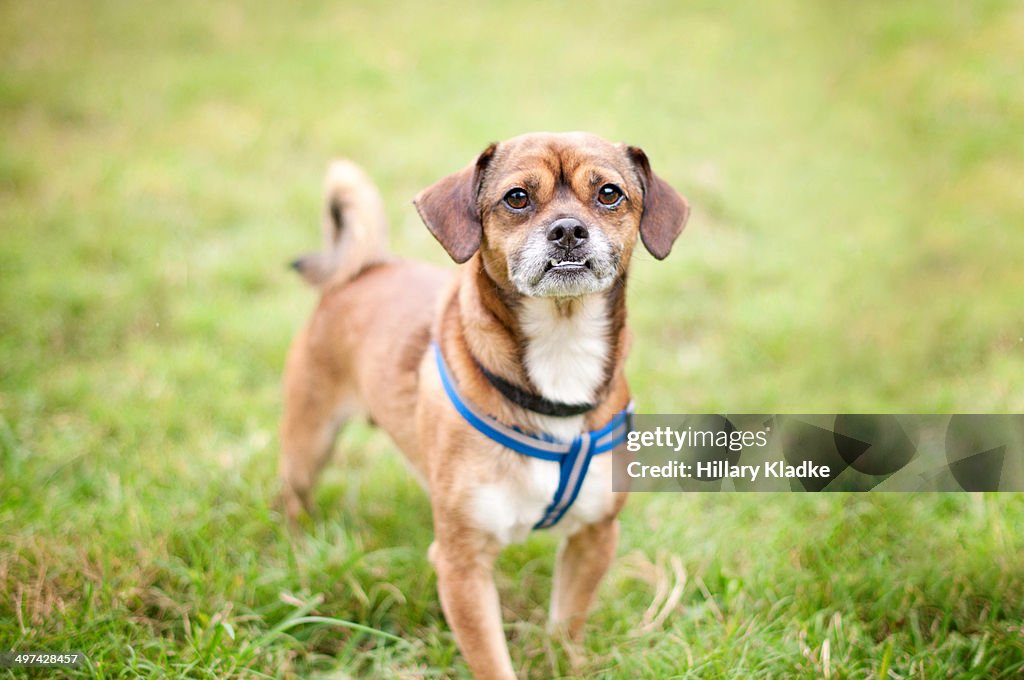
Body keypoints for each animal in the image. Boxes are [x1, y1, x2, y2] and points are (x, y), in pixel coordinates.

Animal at [280, 130, 688, 675]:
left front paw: (563, 663)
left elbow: (566, 627)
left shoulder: (594, 537)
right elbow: (492, 661)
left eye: (608, 193)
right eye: (517, 198)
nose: (568, 230)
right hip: (309, 442)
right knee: (293, 499)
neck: (561, 348)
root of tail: (365, 269)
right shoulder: (462, 565)